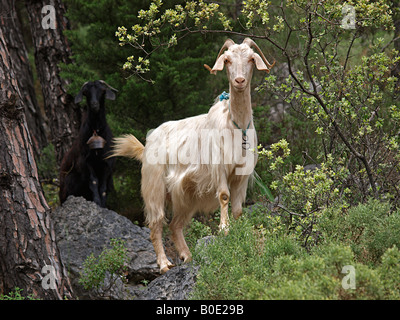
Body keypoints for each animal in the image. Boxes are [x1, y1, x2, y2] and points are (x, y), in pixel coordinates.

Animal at [59, 80, 117, 208]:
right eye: (86, 92)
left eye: (102, 91)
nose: (94, 105)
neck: (96, 131)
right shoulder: (85, 161)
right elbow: (94, 182)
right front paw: (97, 202)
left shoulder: (108, 163)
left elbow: (103, 187)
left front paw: (103, 205)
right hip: (70, 180)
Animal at [112, 38, 276, 272]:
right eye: (227, 60)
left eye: (251, 59)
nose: (239, 81)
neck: (236, 126)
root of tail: (146, 146)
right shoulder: (219, 168)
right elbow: (224, 196)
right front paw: (224, 228)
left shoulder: (242, 175)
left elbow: (237, 209)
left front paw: (238, 232)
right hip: (154, 187)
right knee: (156, 224)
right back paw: (164, 264)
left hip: (185, 197)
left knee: (175, 225)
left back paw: (188, 256)